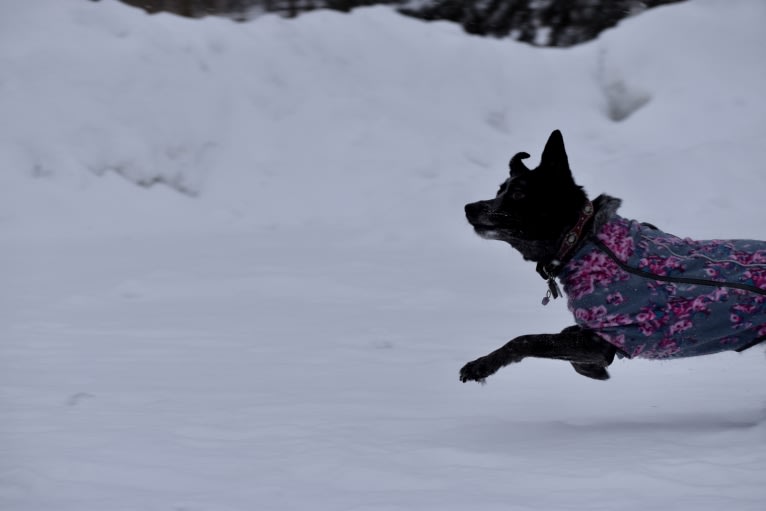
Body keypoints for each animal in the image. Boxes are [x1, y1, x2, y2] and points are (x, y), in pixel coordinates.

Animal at [462, 130, 766, 382]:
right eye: (500, 189)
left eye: (518, 193)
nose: (469, 207)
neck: (581, 240)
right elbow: (564, 334)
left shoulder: (601, 340)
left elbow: (526, 340)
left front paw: (481, 365)